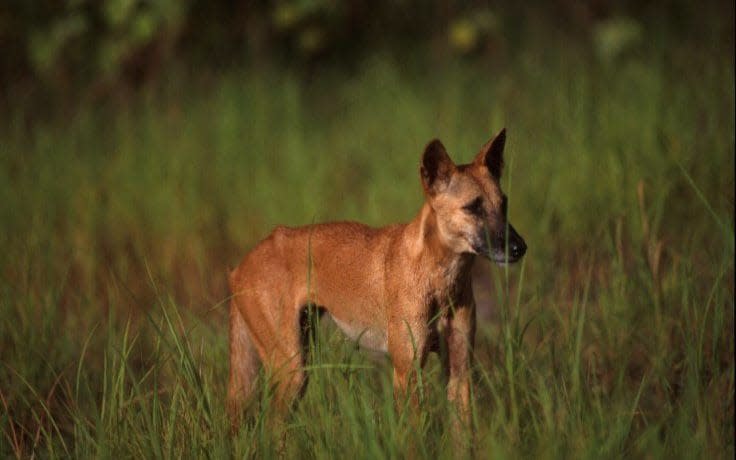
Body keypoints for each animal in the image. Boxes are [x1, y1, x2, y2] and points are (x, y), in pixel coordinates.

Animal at [227, 128, 528, 428]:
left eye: (504, 204)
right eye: (473, 207)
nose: (519, 248)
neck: (441, 282)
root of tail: (240, 265)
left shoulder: (459, 370)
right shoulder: (407, 372)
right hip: (292, 369)